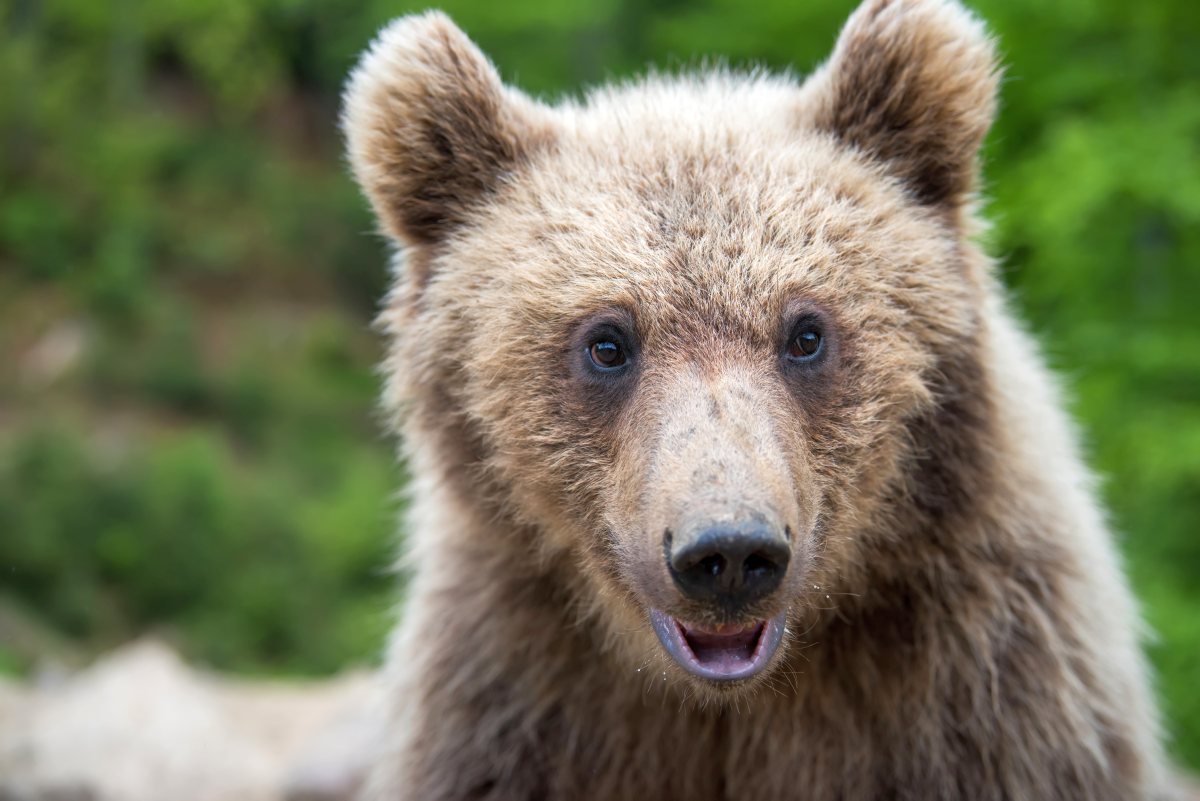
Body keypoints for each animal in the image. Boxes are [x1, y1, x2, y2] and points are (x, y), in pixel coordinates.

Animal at [338, 1, 1171, 801]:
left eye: (806, 332)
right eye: (606, 341)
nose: (730, 551)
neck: (733, 704)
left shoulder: (982, 690)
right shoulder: (514, 698)